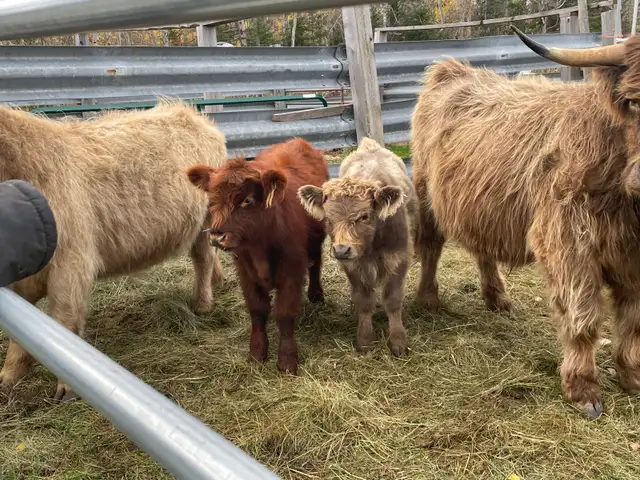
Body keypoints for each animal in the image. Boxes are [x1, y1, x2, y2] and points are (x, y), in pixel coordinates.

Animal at [0, 100, 227, 402]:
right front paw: (9, 375)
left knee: (203, 259)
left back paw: (202, 304)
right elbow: (20, 328)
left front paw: (67, 387)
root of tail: (191, 115)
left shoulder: (72, 265)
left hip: (205, 219)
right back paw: (217, 281)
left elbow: (64, 321)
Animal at [186, 138, 328, 375]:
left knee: (315, 262)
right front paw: (257, 353)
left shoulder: (291, 271)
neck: (259, 247)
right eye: (212, 200)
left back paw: (316, 294)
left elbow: (285, 314)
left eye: (247, 200)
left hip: (317, 237)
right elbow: (258, 311)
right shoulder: (245, 272)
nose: (216, 236)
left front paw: (287, 360)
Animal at [298, 137, 417, 357]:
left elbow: (393, 300)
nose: (341, 250)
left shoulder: (399, 258)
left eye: (364, 216)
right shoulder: (352, 266)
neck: (372, 247)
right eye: (329, 218)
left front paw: (398, 342)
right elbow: (364, 300)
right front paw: (365, 339)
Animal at [410, 27, 640, 419]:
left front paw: (632, 377)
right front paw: (583, 390)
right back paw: (427, 299)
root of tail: (453, 69)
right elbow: (583, 316)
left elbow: (634, 322)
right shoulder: (569, 243)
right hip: (426, 193)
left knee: (482, 249)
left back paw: (497, 298)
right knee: (430, 246)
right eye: (636, 103)